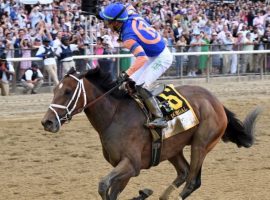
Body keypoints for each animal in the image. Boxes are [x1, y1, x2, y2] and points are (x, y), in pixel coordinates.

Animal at [41, 68, 260, 199]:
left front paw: (141, 193)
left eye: (68, 92)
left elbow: (103, 185)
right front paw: (142, 193)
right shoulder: (124, 168)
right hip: (172, 148)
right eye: (54, 90)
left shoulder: (131, 164)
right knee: (184, 172)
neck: (114, 116)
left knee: (192, 181)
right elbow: (111, 191)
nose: (47, 122)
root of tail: (216, 102)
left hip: (201, 144)